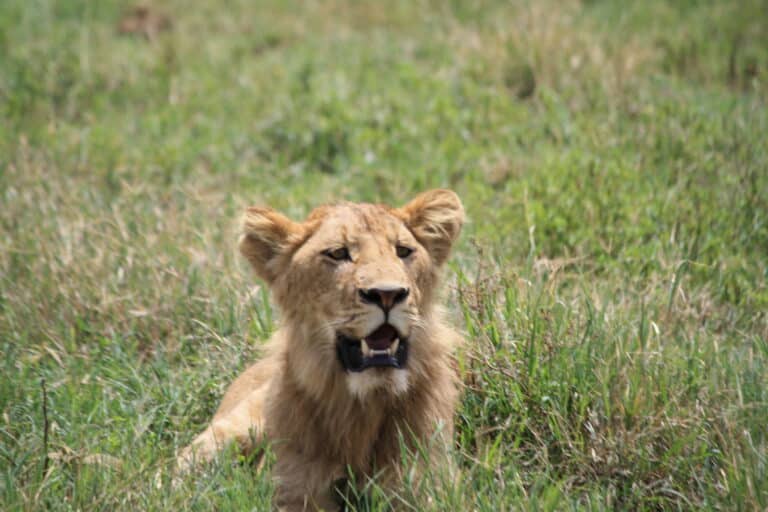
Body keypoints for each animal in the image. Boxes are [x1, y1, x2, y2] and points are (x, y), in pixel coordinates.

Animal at [177, 189, 465, 511]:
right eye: (338, 253)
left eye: (403, 251)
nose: (387, 294)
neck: (362, 407)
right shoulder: (293, 490)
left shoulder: (427, 485)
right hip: (229, 434)